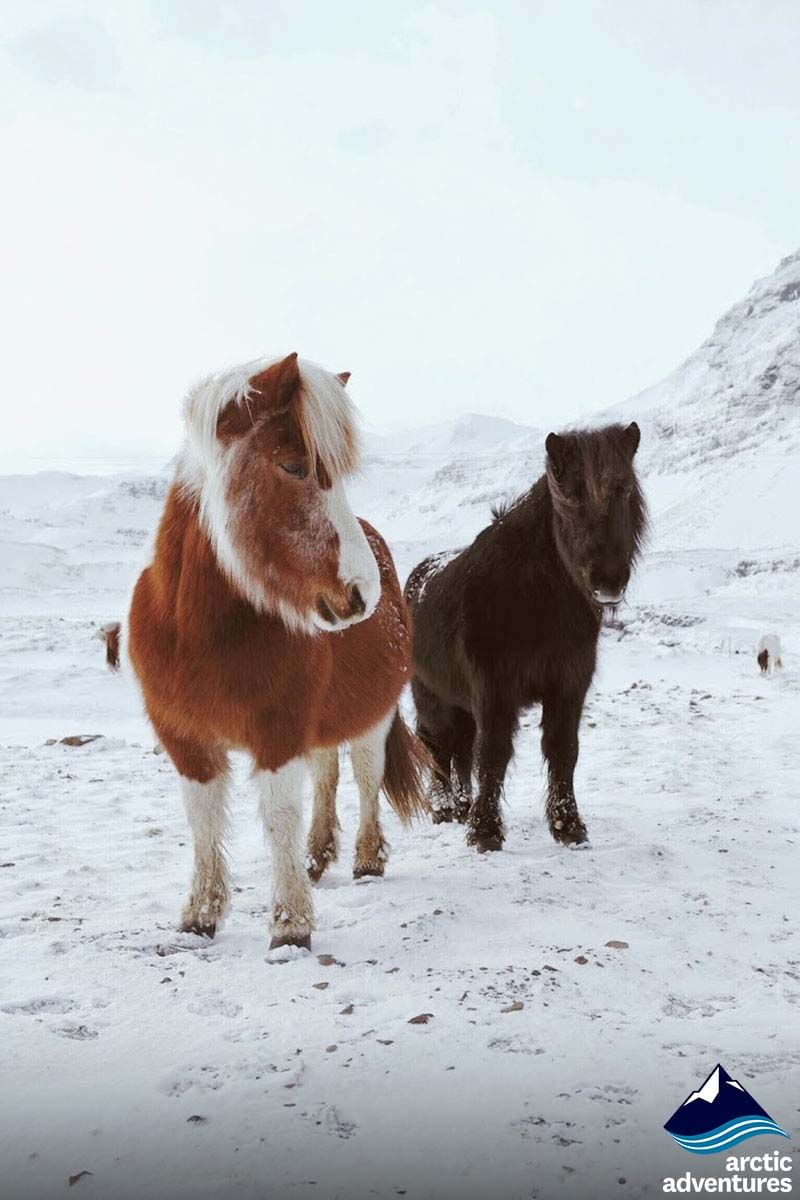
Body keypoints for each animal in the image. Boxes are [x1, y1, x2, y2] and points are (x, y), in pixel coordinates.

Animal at [125, 352, 428, 951]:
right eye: (292, 466)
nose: (362, 593)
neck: (199, 634)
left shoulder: (278, 732)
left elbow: (279, 816)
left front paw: (291, 926)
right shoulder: (185, 740)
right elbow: (203, 821)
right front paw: (200, 916)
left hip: (372, 716)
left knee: (366, 776)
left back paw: (366, 859)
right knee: (328, 775)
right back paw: (318, 857)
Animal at [404, 423, 646, 852]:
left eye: (624, 490)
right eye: (570, 496)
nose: (608, 581)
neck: (532, 601)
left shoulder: (568, 687)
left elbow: (563, 750)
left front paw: (568, 826)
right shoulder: (495, 692)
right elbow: (493, 755)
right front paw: (485, 832)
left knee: (460, 748)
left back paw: (462, 805)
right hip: (432, 696)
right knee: (437, 744)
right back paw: (445, 808)